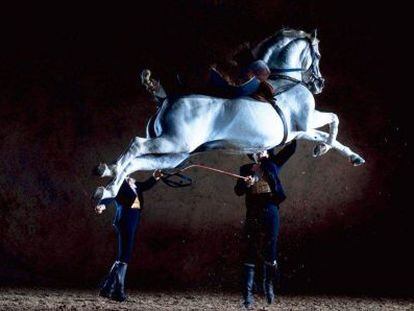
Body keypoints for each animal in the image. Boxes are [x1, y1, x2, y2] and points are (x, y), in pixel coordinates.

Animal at [94, 29, 366, 204]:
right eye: (317, 55)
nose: (320, 84)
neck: (284, 80)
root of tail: (165, 99)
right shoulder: (307, 121)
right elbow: (334, 119)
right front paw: (324, 148)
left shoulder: (299, 130)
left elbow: (329, 133)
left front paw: (347, 155)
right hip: (171, 142)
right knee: (136, 145)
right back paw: (109, 178)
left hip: (174, 156)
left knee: (136, 162)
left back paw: (107, 182)